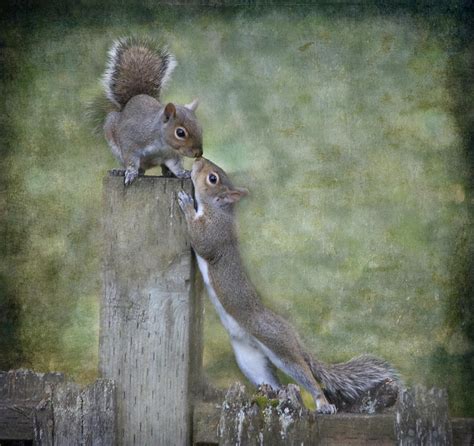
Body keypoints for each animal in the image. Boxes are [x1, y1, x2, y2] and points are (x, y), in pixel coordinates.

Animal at [94, 36, 202, 186]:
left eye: (200, 127)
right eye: (180, 133)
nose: (199, 153)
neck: (161, 143)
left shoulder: (171, 155)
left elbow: (175, 165)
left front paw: (183, 173)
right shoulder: (131, 143)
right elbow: (131, 161)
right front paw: (130, 173)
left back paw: (167, 172)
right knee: (139, 169)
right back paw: (121, 171)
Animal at [180, 158, 398, 414]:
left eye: (213, 178)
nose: (198, 160)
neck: (220, 210)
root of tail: (293, 335)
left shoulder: (215, 234)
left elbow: (201, 242)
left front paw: (186, 205)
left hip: (280, 346)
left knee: (307, 375)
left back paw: (323, 403)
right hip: (251, 360)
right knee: (272, 380)